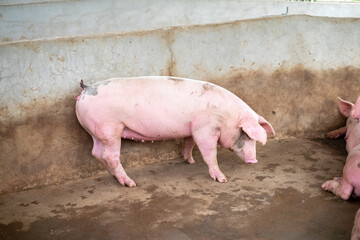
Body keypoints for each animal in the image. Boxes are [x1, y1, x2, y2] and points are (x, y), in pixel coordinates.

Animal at [74, 76, 274, 187]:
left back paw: (114, 177)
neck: (226, 116)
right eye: (247, 135)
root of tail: (87, 88)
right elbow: (210, 153)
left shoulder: (191, 128)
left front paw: (190, 161)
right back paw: (130, 184)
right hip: (110, 128)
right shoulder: (205, 129)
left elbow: (189, 142)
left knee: (96, 152)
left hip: (97, 131)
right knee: (109, 156)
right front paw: (223, 179)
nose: (254, 160)